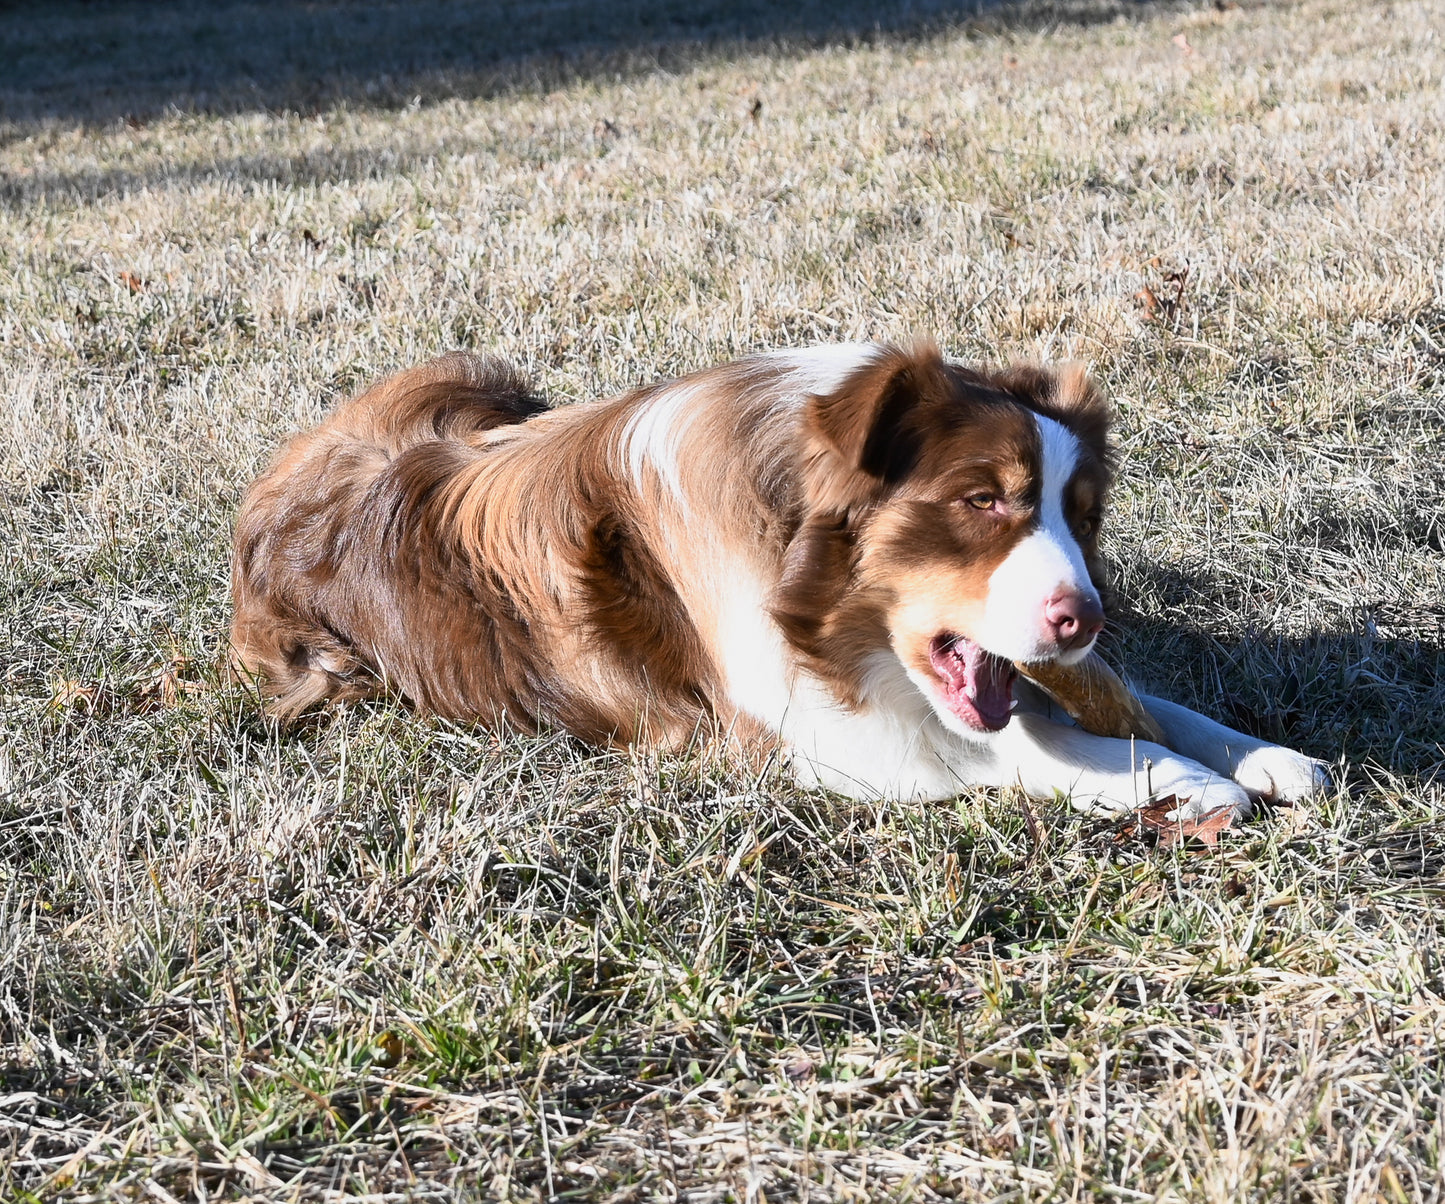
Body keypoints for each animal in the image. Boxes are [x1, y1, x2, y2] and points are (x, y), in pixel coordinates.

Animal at [231, 338, 1323, 815]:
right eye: (980, 501)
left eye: (1080, 516)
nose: (1083, 618)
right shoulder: (812, 738)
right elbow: (1025, 744)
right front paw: (1175, 780)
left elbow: (1147, 703)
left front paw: (1261, 756)